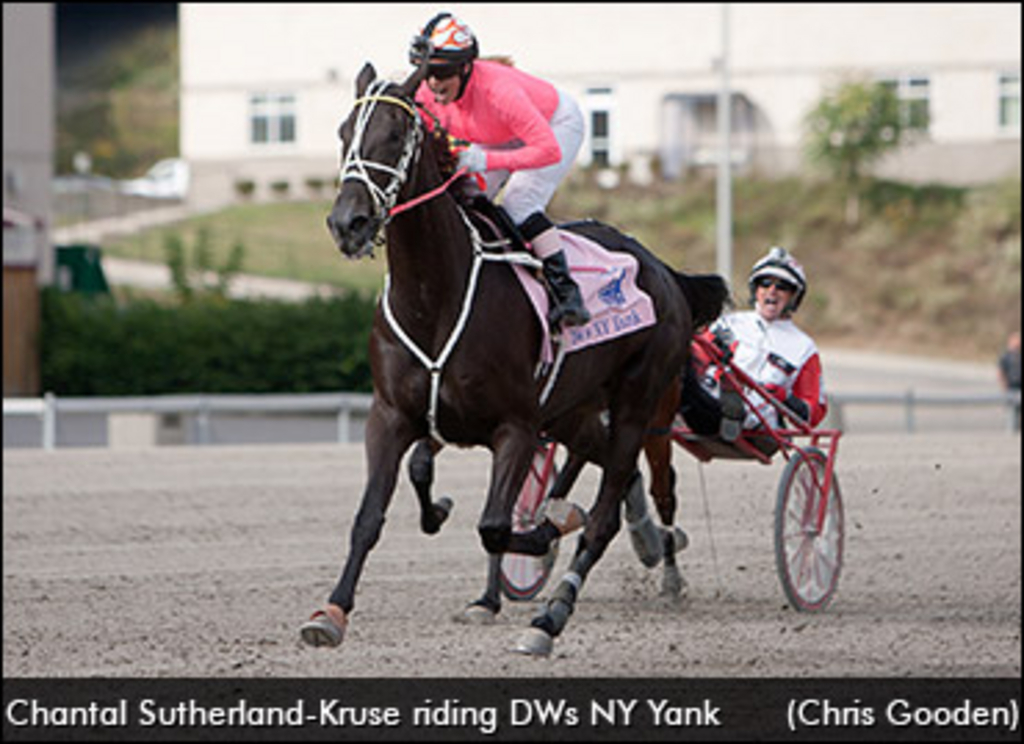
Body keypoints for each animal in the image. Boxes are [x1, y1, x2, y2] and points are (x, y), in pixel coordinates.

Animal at [303, 62, 729, 659]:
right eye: (345, 133)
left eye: (394, 133)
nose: (349, 223)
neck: (436, 296)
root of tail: (665, 271)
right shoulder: (391, 416)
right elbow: (371, 516)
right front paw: (331, 612)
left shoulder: (518, 427)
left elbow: (495, 525)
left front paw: (540, 539)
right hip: (576, 411)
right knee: (608, 475)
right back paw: (628, 539)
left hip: (638, 409)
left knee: (606, 512)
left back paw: (551, 617)